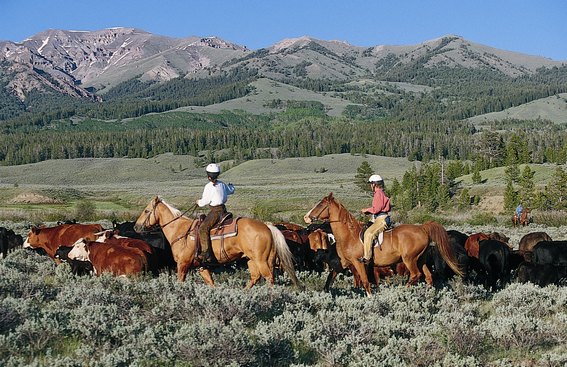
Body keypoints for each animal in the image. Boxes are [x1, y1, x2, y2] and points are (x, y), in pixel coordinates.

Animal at [134, 197, 302, 288]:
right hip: (253, 260)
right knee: (255, 277)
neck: (181, 231)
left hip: (261, 260)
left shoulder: (182, 265)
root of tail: (267, 226)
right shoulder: (202, 267)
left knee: (269, 278)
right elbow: (211, 283)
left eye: (146, 211)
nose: (136, 226)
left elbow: (180, 282)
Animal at [304, 193, 464, 296]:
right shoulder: (343, 263)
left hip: (410, 260)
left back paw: (404, 291)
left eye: (320, 204)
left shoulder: (359, 263)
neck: (349, 235)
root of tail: (422, 228)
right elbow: (330, 278)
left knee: (415, 275)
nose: (306, 217)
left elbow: (365, 282)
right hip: (421, 260)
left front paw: (370, 298)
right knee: (428, 277)